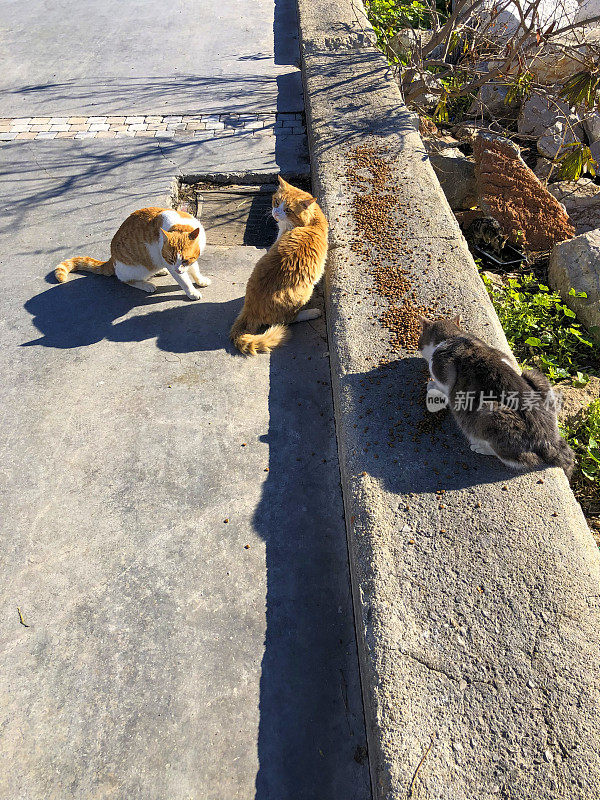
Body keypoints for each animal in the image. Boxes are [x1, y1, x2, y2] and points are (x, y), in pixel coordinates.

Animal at [54, 208, 209, 302]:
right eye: (170, 259)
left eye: (185, 260)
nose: (177, 269)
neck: (179, 225)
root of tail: (112, 259)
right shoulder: (171, 265)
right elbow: (185, 281)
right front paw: (192, 292)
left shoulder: (190, 262)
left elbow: (195, 271)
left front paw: (200, 280)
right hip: (139, 269)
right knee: (125, 280)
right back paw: (146, 284)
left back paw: (160, 271)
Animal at [232, 177, 330, 354]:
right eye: (277, 202)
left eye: (288, 210)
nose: (276, 212)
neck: (311, 223)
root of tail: (250, 309)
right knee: (288, 319)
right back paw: (311, 312)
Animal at [420, 314, 576, 478]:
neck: (454, 337)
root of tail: (550, 440)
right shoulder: (503, 356)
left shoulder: (442, 373)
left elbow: (442, 389)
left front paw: (431, 386)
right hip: (534, 375)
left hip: (489, 412)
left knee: (515, 459)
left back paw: (481, 448)